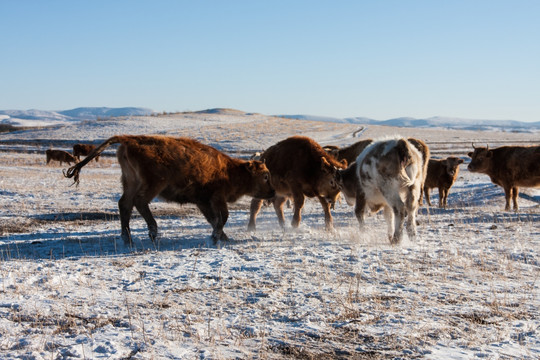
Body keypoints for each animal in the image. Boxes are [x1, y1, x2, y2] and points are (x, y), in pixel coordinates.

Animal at [64, 136, 274, 245]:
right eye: (265, 176)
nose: (272, 193)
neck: (230, 170)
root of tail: (130, 139)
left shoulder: (203, 201)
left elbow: (214, 219)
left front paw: (223, 237)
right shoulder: (216, 198)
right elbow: (222, 217)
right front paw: (216, 237)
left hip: (130, 182)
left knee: (125, 204)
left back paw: (128, 239)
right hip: (154, 184)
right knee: (139, 202)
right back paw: (152, 233)